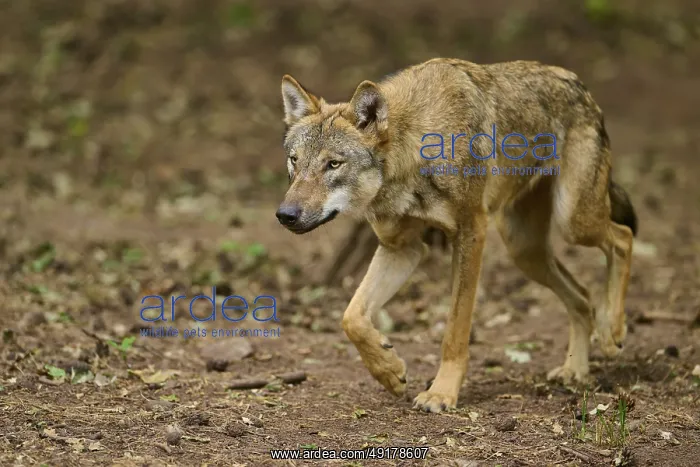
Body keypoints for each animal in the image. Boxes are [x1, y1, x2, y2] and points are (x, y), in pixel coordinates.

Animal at [276, 58, 637, 413]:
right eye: (294, 161)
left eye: (333, 164)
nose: (285, 215)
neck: (415, 151)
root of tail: (579, 84)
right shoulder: (402, 248)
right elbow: (351, 317)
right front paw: (389, 372)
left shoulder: (471, 233)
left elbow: (455, 329)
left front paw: (441, 393)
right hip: (525, 251)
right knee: (583, 297)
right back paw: (575, 369)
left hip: (573, 222)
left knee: (622, 238)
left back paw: (613, 331)